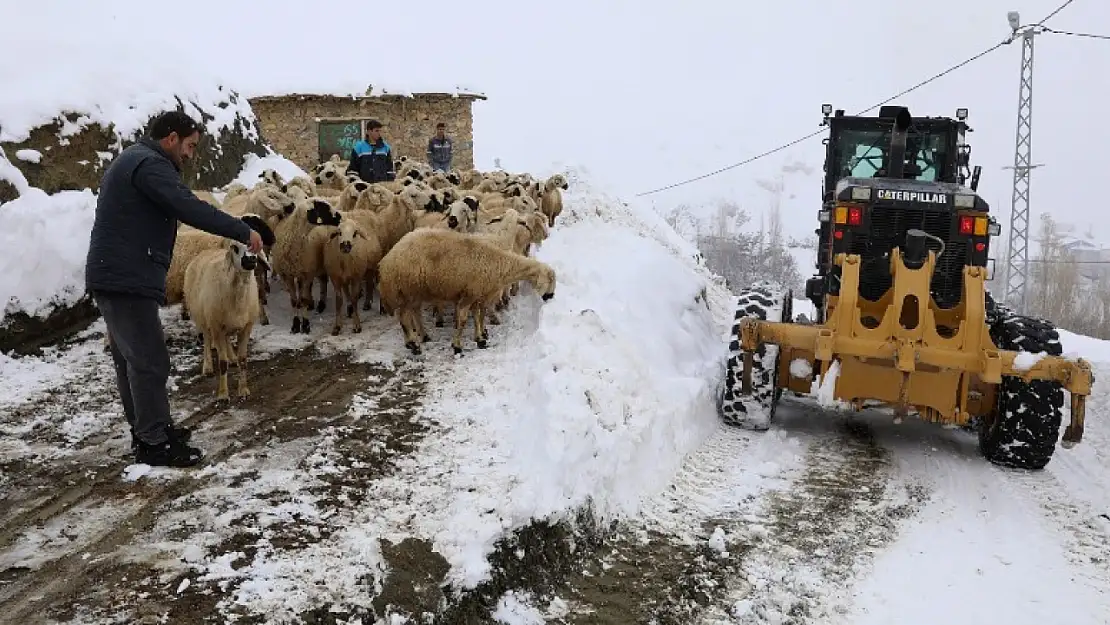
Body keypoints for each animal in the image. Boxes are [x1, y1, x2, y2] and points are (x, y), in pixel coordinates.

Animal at [183, 239, 269, 401]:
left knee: (226, 338)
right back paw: (208, 367)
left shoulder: (246, 327)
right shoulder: (216, 326)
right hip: (203, 318)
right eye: (234, 247)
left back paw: (232, 358)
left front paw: (243, 390)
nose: (250, 259)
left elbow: (243, 359)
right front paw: (223, 394)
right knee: (207, 340)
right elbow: (222, 363)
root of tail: (205, 251)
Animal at [379, 227, 555, 355]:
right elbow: (463, 320)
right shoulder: (469, 295)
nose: (550, 297)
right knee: (404, 317)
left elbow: (477, 316)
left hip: (414, 291)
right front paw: (457, 346)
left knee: (413, 313)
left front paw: (480, 339)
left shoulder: (475, 294)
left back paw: (422, 337)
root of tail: (387, 260)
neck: (499, 263)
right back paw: (413, 344)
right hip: (406, 288)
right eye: (551, 281)